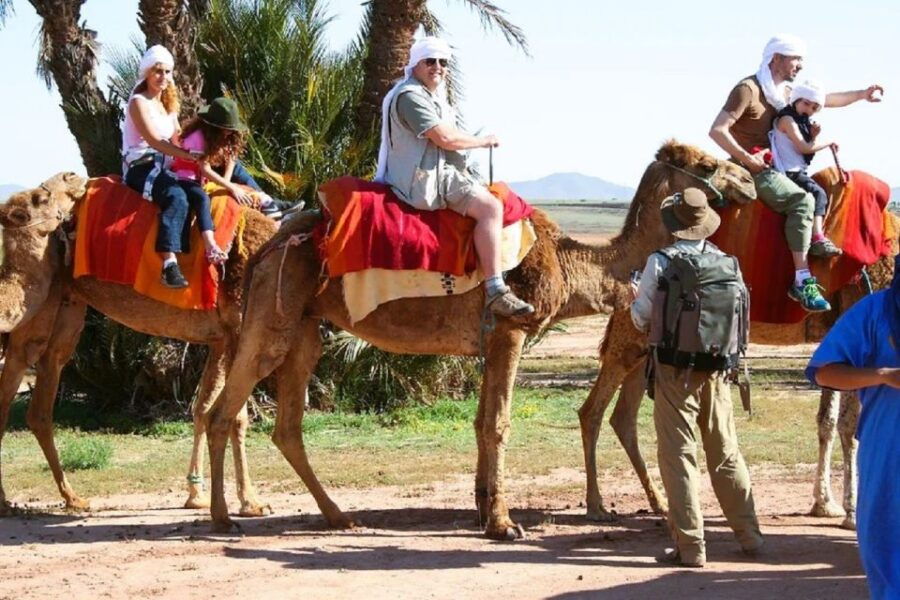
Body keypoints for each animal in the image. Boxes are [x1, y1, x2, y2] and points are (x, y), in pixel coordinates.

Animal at [0, 173, 277, 516]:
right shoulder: (238, 330)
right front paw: (251, 502)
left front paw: (196, 495)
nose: (71, 178)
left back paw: (73, 499)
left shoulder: (221, 338)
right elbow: (233, 415)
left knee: (43, 390)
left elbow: (204, 409)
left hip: (63, 302)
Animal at [200, 140, 759, 537]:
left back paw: (338, 516)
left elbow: (479, 422)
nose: (750, 179)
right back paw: (224, 517)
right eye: (706, 163)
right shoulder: (511, 329)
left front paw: (483, 508)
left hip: (304, 327)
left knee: (285, 426)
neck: (568, 263)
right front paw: (504, 524)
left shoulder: (488, 342)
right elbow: (499, 423)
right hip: (275, 314)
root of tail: (272, 243)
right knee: (224, 411)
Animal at [577, 151, 897, 531]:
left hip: (645, 351)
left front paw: (825, 504)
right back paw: (597, 505)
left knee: (622, 417)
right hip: (630, 340)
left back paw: (658, 503)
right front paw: (850, 512)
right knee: (593, 411)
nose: (745, 180)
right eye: (705, 166)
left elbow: (828, 421)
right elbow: (851, 425)